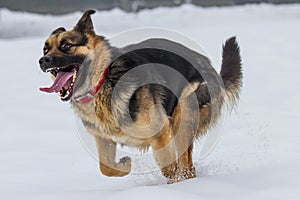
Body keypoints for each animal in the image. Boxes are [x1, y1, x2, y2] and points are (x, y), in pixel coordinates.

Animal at [38, 10, 243, 184]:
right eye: (45, 50)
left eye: (66, 45)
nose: (43, 61)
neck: (104, 80)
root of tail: (210, 67)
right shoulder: (103, 139)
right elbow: (106, 168)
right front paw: (125, 165)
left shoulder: (161, 132)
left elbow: (168, 166)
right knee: (188, 165)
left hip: (184, 116)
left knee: (185, 166)